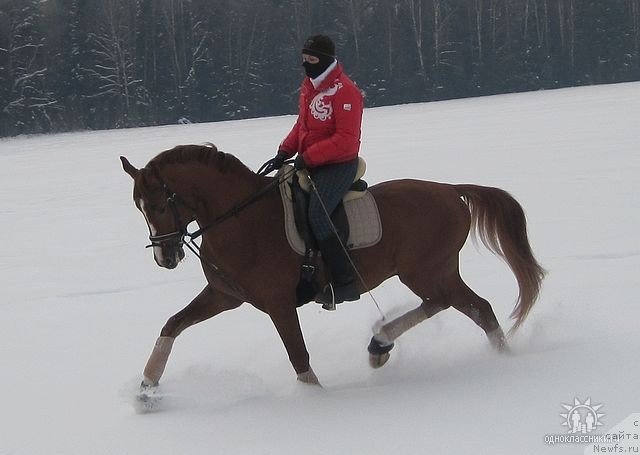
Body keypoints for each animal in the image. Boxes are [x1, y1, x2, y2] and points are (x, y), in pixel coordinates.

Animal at [121, 144, 544, 394]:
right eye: (139, 208)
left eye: (156, 205)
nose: (165, 257)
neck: (241, 220)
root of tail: (450, 190)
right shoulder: (225, 296)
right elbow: (172, 325)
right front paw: (147, 388)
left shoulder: (278, 303)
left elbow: (299, 356)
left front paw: (314, 401)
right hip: (429, 272)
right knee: (444, 304)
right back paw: (380, 344)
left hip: (429, 270)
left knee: (476, 308)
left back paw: (502, 359)